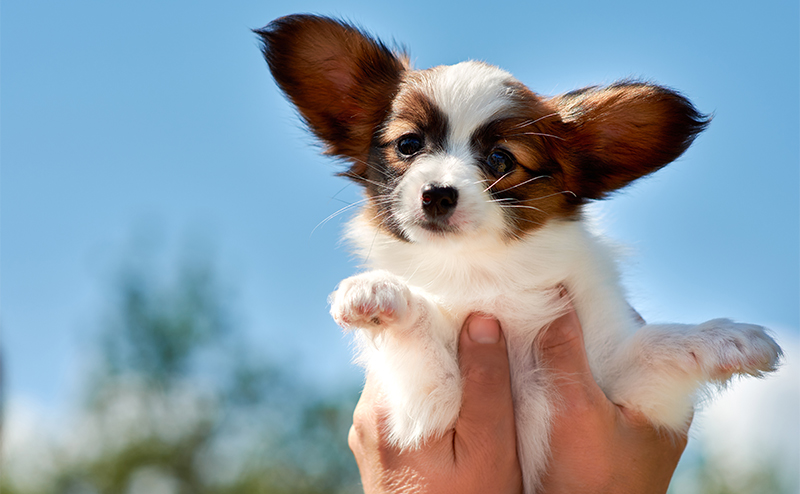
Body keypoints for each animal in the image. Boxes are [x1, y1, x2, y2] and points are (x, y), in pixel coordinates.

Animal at [255, 13, 780, 492]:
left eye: (500, 160)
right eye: (408, 145)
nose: (437, 194)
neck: (484, 271)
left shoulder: (623, 388)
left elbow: (660, 344)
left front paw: (728, 337)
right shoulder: (431, 407)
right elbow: (422, 323)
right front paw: (378, 290)